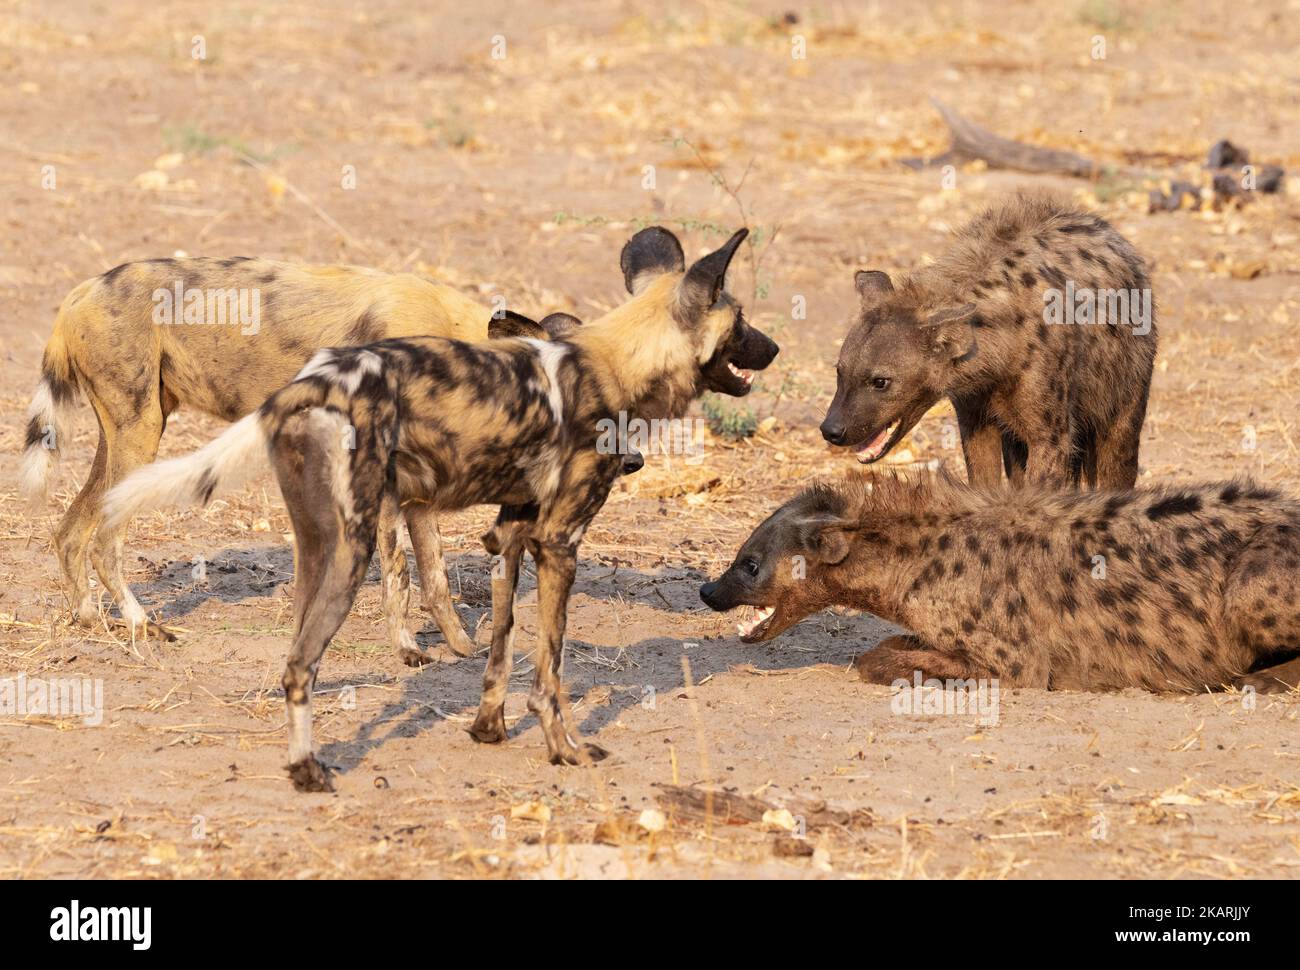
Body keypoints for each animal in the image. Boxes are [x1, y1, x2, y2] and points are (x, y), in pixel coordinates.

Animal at [20, 257, 566, 660]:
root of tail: (80, 294)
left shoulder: (416, 493)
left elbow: (435, 577)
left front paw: (461, 647)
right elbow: (400, 575)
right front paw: (408, 650)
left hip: (133, 433)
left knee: (70, 533)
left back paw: (90, 620)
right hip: (140, 438)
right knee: (103, 541)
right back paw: (138, 623)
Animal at [101, 226, 780, 785]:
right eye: (741, 320)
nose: (774, 348)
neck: (613, 360)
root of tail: (311, 382)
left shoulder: (510, 536)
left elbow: (499, 653)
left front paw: (488, 730)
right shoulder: (558, 542)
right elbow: (548, 674)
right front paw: (565, 750)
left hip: (317, 549)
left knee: (296, 657)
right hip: (352, 548)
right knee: (299, 665)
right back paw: (309, 774)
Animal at [702, 470, 1300, 691]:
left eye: (750, 564)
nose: (708, 591)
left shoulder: (1016, 659)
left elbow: (884, 656)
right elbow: (895, 641)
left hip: (1250, 587)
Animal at [821, 193, 1159, 486]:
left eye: (880, 381)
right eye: (839, 371)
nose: (831, 430)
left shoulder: (1051, 435)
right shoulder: (974, 414)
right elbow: (984, 481)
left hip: (1125, 392)